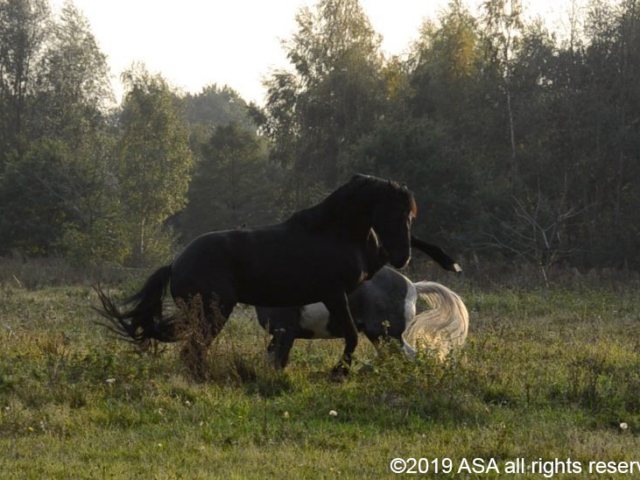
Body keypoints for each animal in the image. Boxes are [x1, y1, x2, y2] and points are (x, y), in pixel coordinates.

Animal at [95, 174, 416, 376]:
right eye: (398, 213)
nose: (404, 257)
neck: (331, 232)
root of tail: (175, 264)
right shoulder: (334, 294)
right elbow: (350, 336)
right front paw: (339, 371)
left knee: (190, 347)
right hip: (214, 312)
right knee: (193, 349)